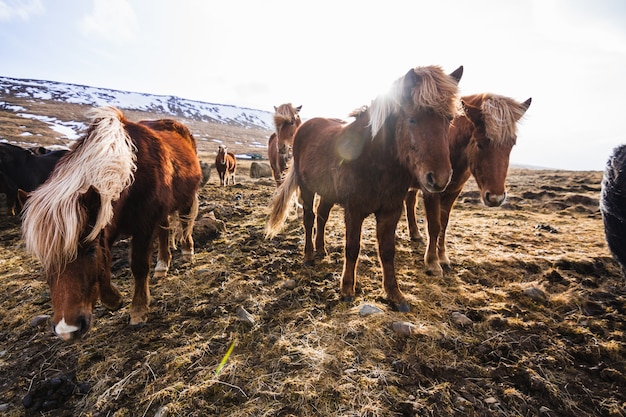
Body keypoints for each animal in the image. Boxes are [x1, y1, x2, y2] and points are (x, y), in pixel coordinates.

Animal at [20, 105, 201, 340]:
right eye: (43, 259)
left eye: (89, 251)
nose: (67, 331)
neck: (132, 174)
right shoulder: (105, 225)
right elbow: (104, 264)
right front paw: (114, 299)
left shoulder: (143, 227)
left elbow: (139, 266)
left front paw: (138, 310)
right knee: (164, 231)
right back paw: (162, 265)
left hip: (186, 199)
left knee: (185, 224)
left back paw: (187, 252)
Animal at [266, 65, 460, 310]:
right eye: (412, 119)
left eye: (449, 119)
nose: (440, 178)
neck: (375, 161)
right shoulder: (354, 210)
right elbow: (352, 248)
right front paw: (347, 289)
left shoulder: (390, 211)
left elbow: (387, 251)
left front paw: (395, 295)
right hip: (306, 189)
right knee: (309, 218)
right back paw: (309, 256)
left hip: (328, 193)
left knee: (321, 216)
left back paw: (321, 249)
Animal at [402, 92, 528, 274]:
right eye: (480, 143)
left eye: (512, 144)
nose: (496, 198)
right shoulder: (432, 192)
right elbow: (434, 225)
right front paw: (432, 263)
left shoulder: (454, 192)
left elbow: (444, 224)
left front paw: (443, 258)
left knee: (410, 202)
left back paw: (415, 234)